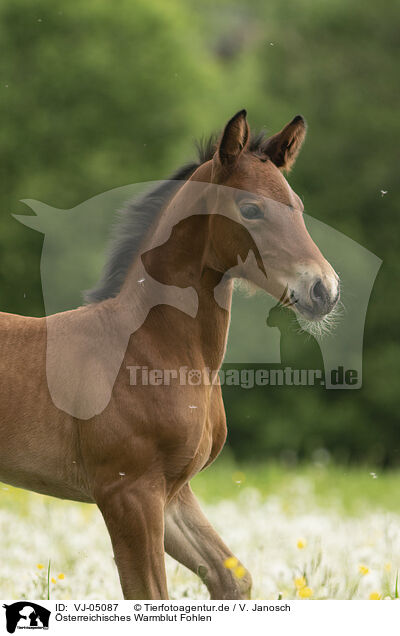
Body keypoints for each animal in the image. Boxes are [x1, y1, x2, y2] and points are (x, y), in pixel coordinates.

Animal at [0, 109, 340, 596]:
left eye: (298, 206)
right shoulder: (128, 493)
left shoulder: (174, 493)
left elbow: (233, 577)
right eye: (250, 208)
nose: (323, 289)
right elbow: (150, 594)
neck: (151, 349)